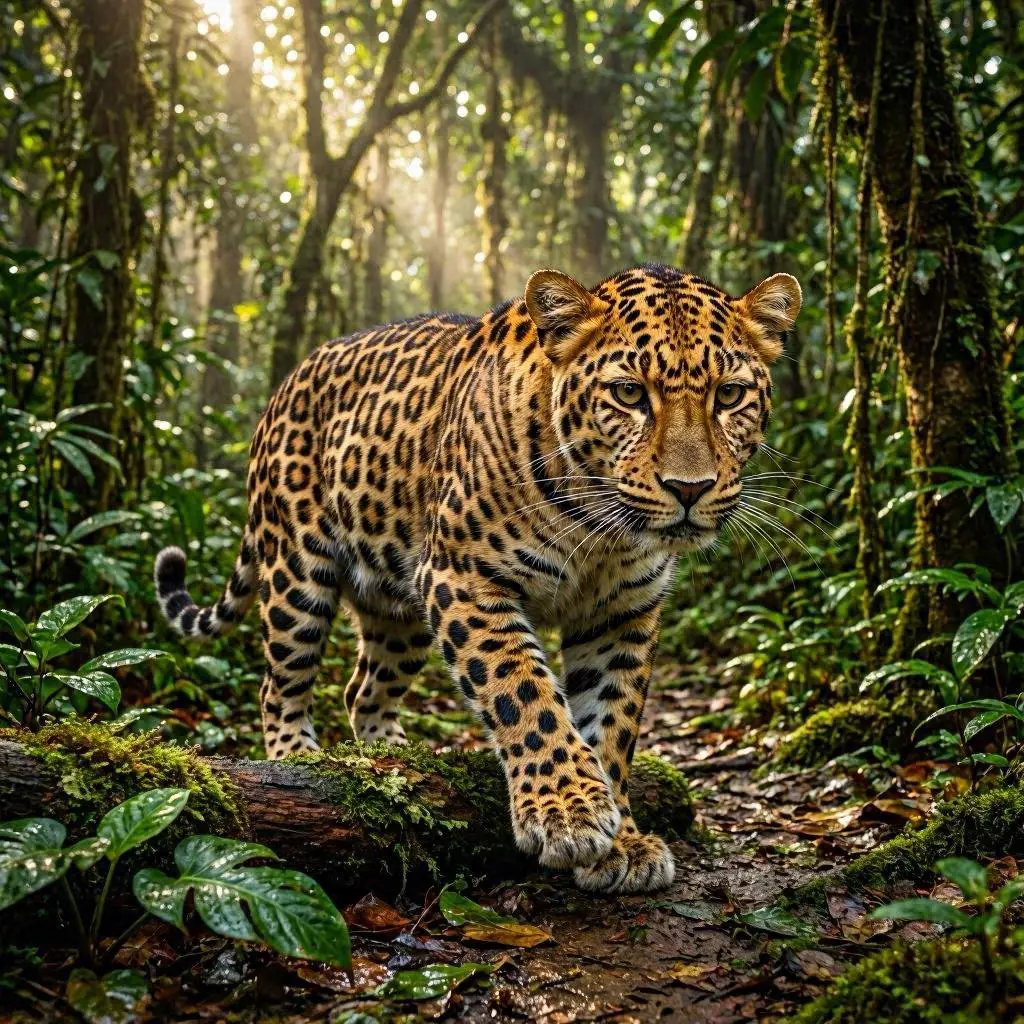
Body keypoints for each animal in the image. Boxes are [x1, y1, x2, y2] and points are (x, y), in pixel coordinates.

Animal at [154, 263, 801, 893]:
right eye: (628, 394)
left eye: (730, 395)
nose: (690, 489)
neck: (600, 530)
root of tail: (288, 381)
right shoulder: (465, 577)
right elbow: (522, 690)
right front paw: (566, 810)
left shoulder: (622, 614)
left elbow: (612, 723)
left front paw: (621, 839)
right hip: (296, 572)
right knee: (280, 683)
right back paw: (297, 757)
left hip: (399, 607)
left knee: (363, 688)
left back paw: (393, 760)